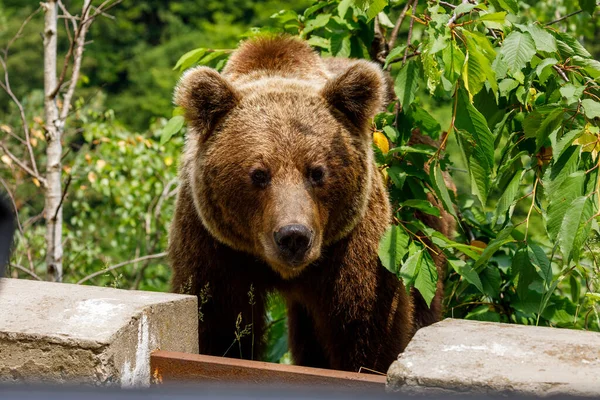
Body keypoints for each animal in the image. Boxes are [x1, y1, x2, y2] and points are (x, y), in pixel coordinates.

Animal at [166, 34, 452, 372]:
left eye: (317, 172)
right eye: (259, 174)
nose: (293, 236)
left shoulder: (353, 245)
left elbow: (367, 330)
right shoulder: (214, 246)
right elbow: (218, 327)